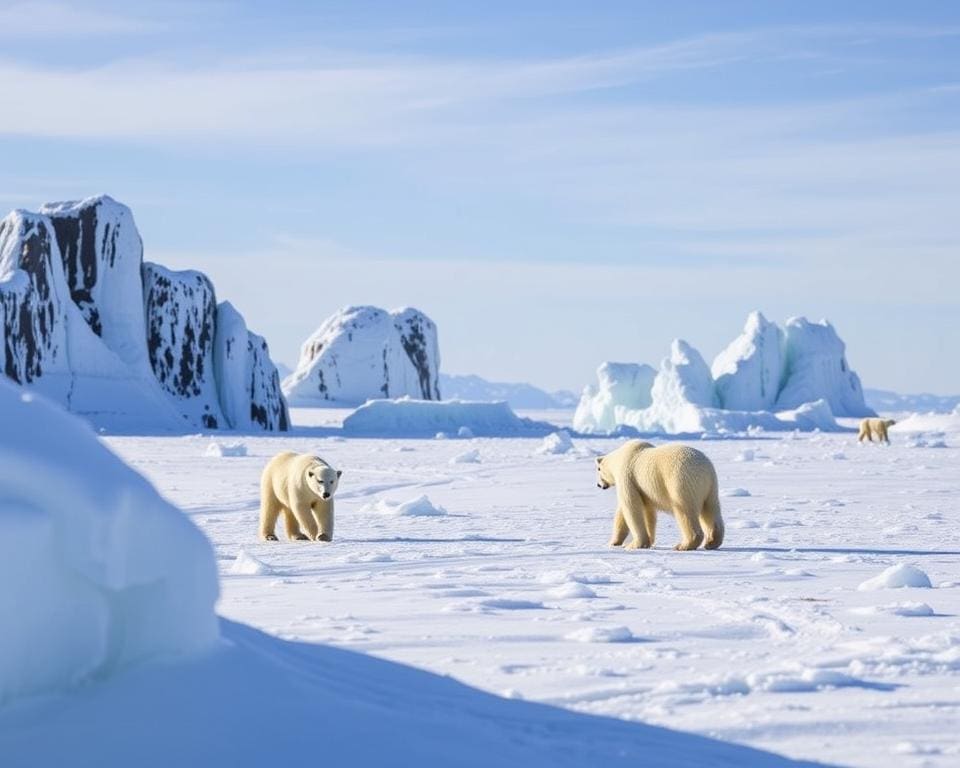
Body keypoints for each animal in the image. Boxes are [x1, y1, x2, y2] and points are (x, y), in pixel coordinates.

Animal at [596, 438, 724, 552]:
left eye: (598, 469)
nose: (598, 485)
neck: (619, 459)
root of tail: (705, 471)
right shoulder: (644, 489)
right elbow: (647, 511)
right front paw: (616, 542)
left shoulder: (627, 476)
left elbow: (631, 507)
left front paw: (634, 544)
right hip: (711, 487)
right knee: (711, 510)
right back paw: (711, 542)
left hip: (681, 481)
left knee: (684, 510)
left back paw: (683, 545)